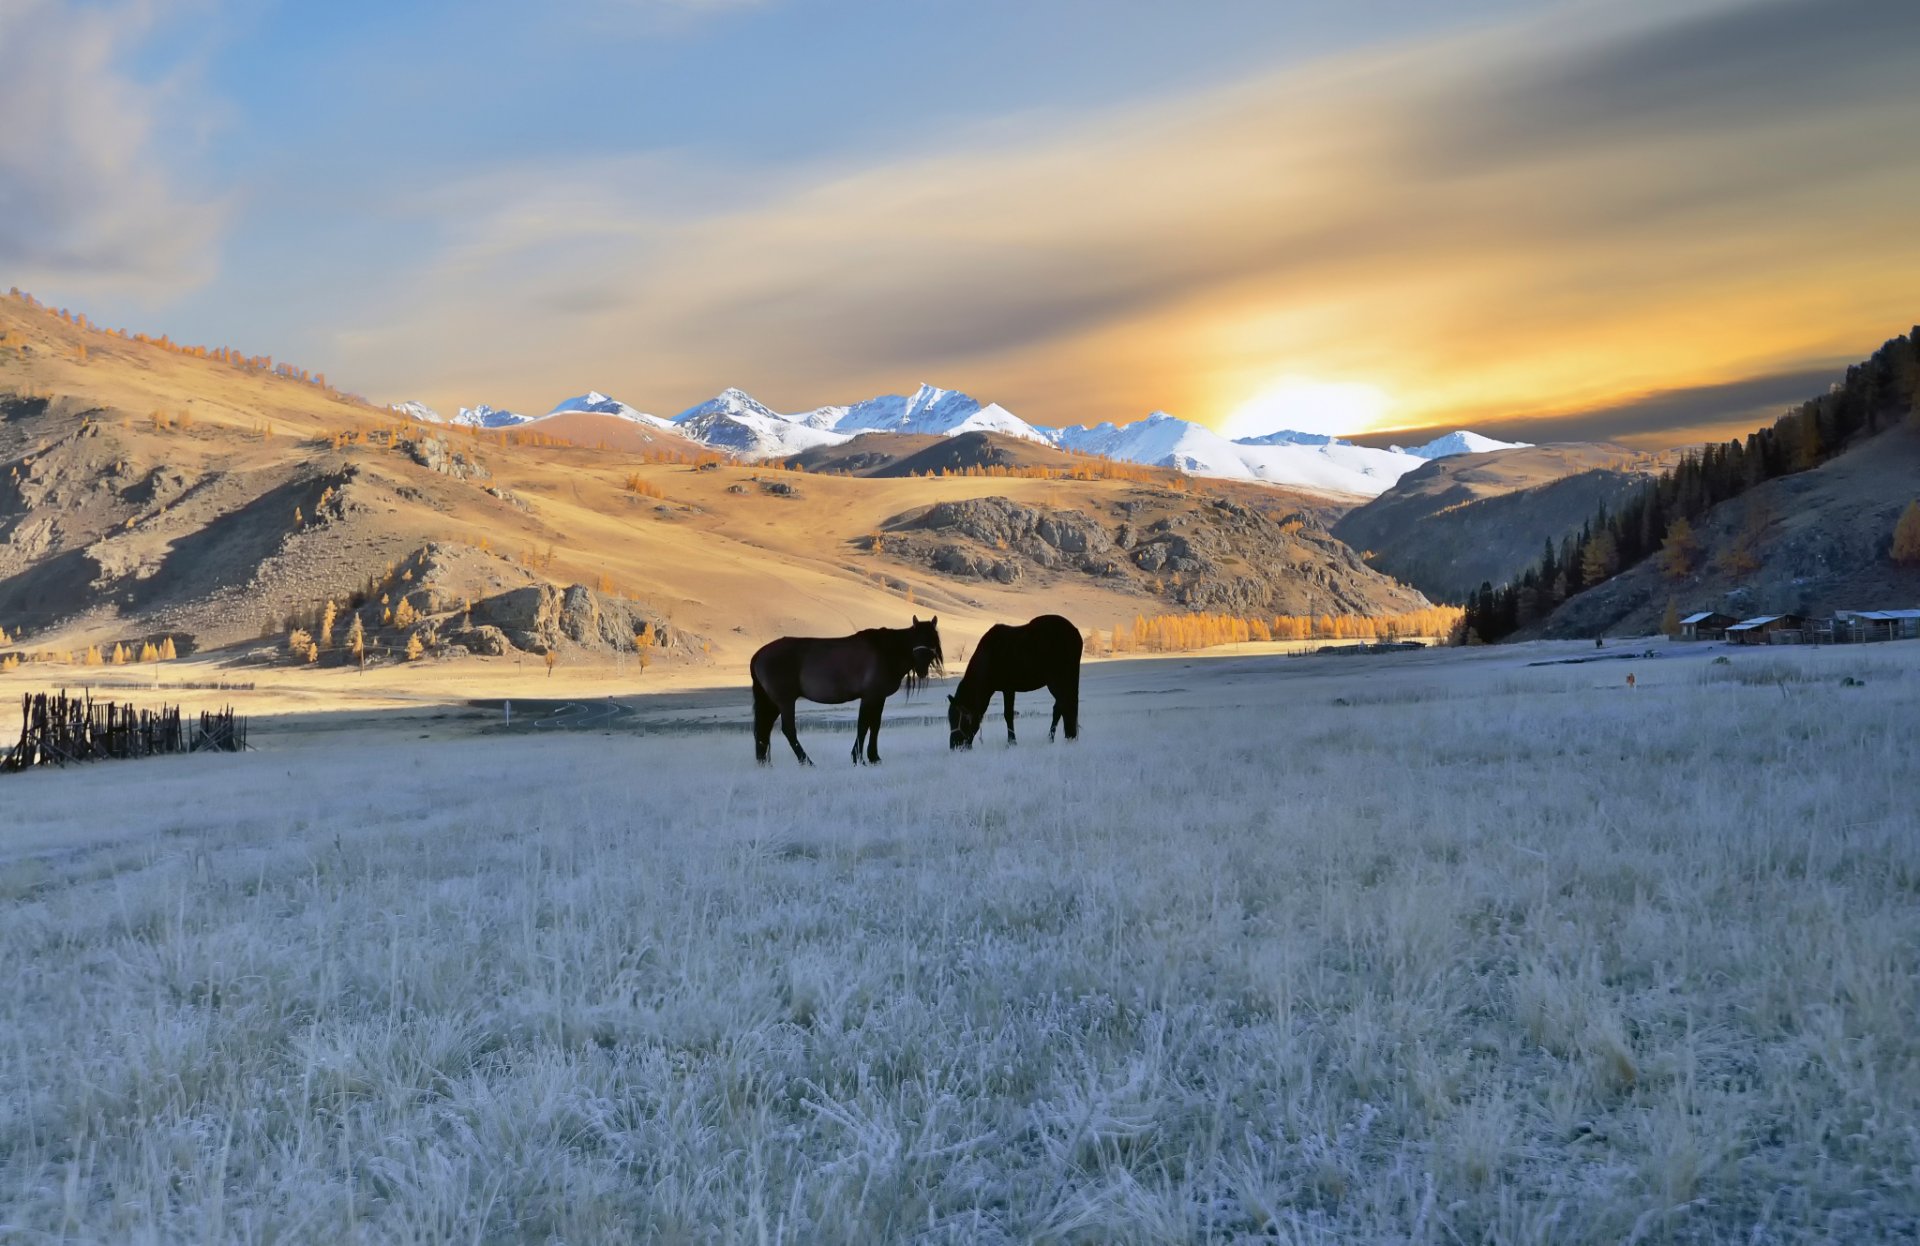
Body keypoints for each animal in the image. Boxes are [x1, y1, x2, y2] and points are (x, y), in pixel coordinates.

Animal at [751, 615, 943, 765]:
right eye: (917, 637)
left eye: (932, 639)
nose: (922, 668)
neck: (885, 651)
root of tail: (759, 654)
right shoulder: (870, 696)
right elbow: (863, 726)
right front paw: (859, 758)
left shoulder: (879, 697)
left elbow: (875, 725)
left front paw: (873, 757)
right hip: (785, 700)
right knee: (788, 730)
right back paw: (807, 762)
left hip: (772, 702)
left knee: (764, 728)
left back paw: (765, 763)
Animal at [948, 613, 1081, 749]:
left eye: (961, 719)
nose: (954, 746)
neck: (989, 658)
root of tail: (1075, 633)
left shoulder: (1008, 689)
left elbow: (1008, 715)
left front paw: (1012, 741)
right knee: (1062, 706)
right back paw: (1056, 738)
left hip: (1057, 679)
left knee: (1064, 704)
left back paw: (1067, 736)